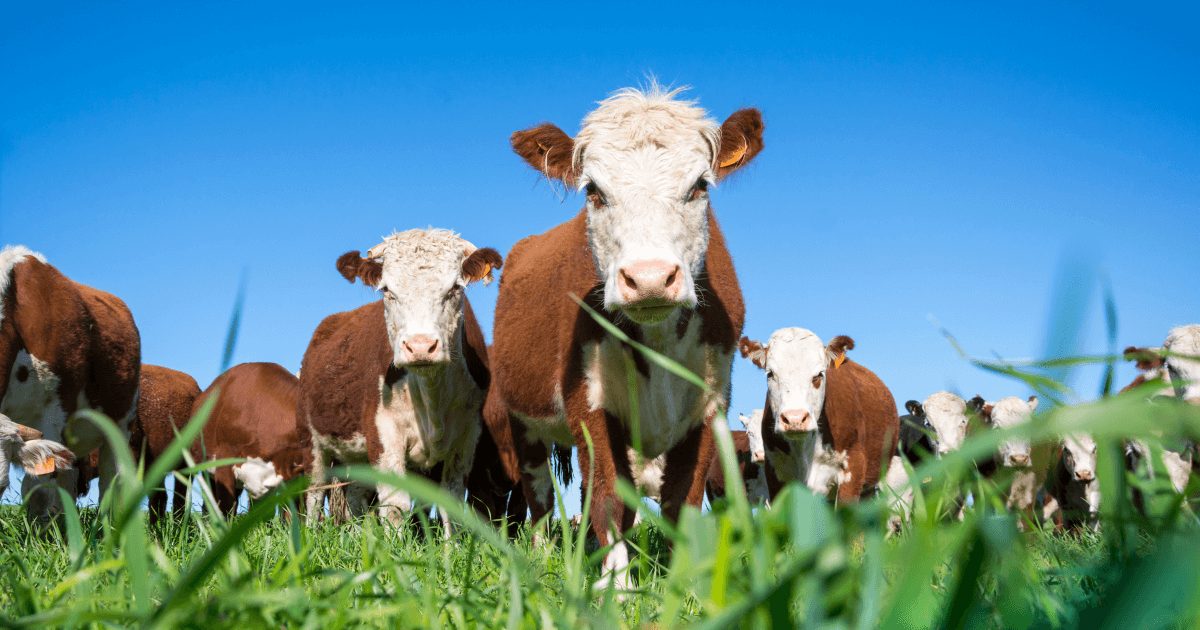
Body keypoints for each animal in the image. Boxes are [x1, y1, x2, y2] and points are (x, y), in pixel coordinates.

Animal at [301, 229, 501, 533]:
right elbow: (395, 506)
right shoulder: (384, 432)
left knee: (355, 496)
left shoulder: (467, 436)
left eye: (455, 288)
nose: (420, 346)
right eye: (387, 291)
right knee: (314, 491)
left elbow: (451, 505)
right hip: (313, 441)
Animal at [491, 86, 763, 588]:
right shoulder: (588, 400)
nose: (650, 278)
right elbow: (608, 499)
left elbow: (681, 502)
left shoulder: (709, 403)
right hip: (523, 418)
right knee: (539, 496)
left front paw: (680, 587)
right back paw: (542, 556)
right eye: (594, 192)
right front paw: (616, 588)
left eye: (700, 186)